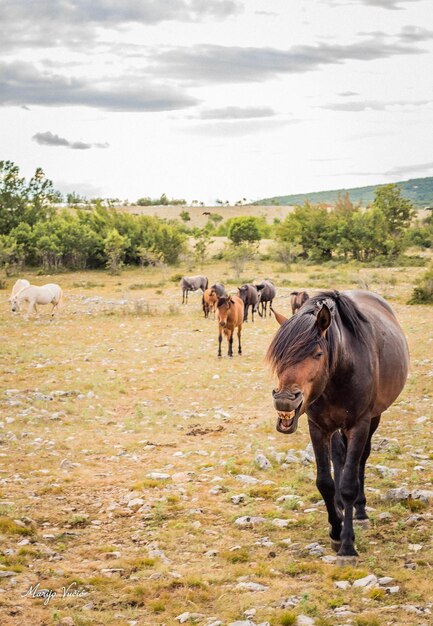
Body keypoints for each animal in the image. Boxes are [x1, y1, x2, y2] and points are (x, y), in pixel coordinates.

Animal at [266, 288, 408, 560]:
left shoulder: (359, 424)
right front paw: (335, 529)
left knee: (361, 459)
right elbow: (325, 482)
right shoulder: (318, 426)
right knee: (339, 456)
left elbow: (350, 483)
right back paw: (342, 507)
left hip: (373, 419)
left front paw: (347, 545)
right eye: (279, 355)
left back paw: (360, 511)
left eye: (317, 354)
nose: (284, 400)